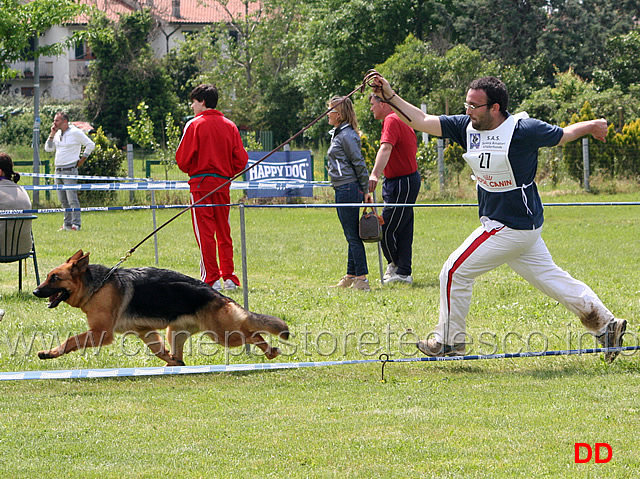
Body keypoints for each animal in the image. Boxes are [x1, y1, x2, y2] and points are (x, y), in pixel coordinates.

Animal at [32, 249, 288, 366]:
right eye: (47, 277)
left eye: (55, 278)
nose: (35, 291)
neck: (97, 285)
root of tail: (217, 294)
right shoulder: (146, 332)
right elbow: (158, 350)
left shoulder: (99, 333)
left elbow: (70, 340)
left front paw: (50, 352)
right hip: (175, 332)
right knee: (178, 356)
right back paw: (176, 364)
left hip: (223, 335)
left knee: (252, 333)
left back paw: (269, 350)